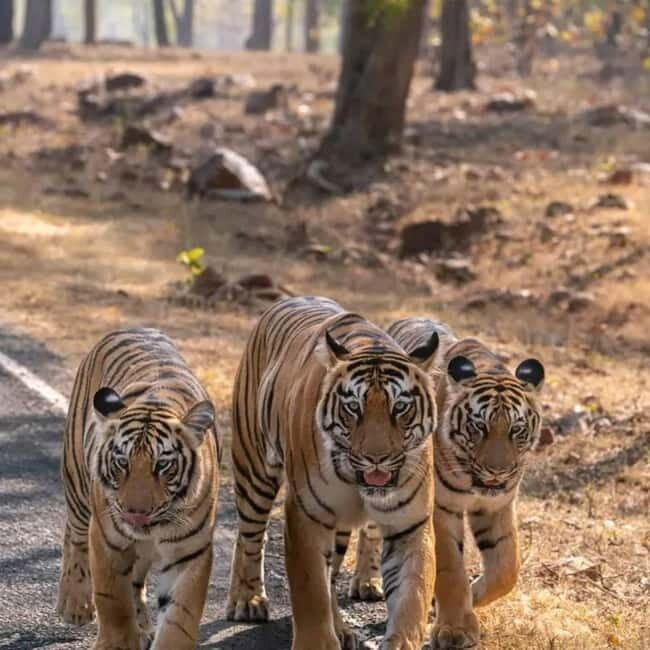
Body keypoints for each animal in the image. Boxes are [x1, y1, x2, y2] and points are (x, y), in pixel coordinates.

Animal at [56, 328, 220, 650]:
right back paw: (75, 604)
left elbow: (180, 617)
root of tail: (133, 328)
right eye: (122, 462)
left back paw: (142, 626)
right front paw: (117, 643)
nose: (136, 513)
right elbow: (113, 601)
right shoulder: (108, 541)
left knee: (135, 580)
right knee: (74, 537)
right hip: (78, 485)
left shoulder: (190, 553)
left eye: (163, 465)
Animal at [226, 297, 440, 650]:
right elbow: (312, 590)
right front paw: (316, 641)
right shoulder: (306, 516)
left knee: (333, 570)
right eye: (353, 408)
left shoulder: (409, 524)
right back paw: (247, 600)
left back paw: (340, 628)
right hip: (253, 470)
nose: (377, 458)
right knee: (250, 536)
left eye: (400, 408)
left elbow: (413, 595)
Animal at [347, 317, 545, 649]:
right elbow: (451, 568)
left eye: (516, 429)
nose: (497, 472)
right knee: (371, 531)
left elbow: (507, 568)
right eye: (479, 426)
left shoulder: (497, 506)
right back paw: (366, 583)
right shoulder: (440, 508)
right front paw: (455, 629)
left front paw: (473, 597)